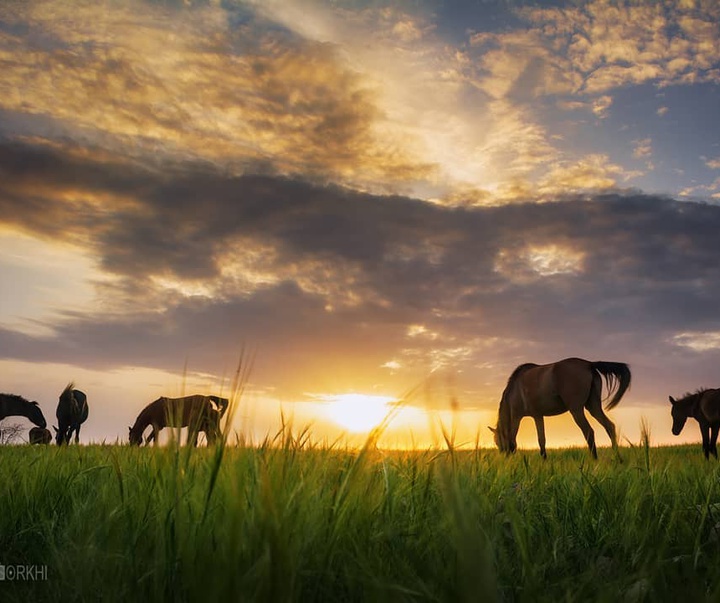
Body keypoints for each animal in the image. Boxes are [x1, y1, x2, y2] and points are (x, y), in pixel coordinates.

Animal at [490, 356, 632, 460]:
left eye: (497, 441)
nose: (504, 456)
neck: (514, 390)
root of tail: (589, 364)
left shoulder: (518, 416)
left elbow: (514, 438)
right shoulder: (538, 415)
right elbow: (542, 439)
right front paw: (544, 460)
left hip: (576, 410)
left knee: (589, 431)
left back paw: (594, 459)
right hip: (593, 406)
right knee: (609, 426)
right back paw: (618, 458)